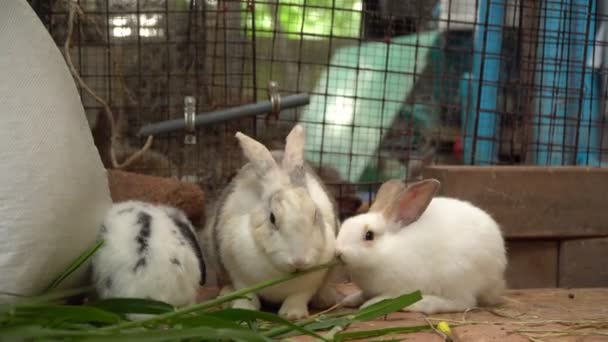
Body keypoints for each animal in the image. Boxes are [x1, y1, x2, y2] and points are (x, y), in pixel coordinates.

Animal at [202, 125, 340, 320]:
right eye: (272, 218)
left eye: (315, 215)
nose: (299, 261)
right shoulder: (239, 276)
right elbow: (247, 295)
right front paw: (244, 310)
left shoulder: (309, 284)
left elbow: (297, 297)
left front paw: (292, 315)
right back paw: (225, 295)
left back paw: (325, 299)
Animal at [334, 179, 506, 316]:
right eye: (344, 225)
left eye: (369, 235)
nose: (338, 252)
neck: (387, 252)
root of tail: (496, 277)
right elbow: (363, 294)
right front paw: (350, 299)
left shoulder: (402, 287)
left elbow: (388, 296)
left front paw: (371, 304)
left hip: (456, 276)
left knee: (464, 302)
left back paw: (422, 304)